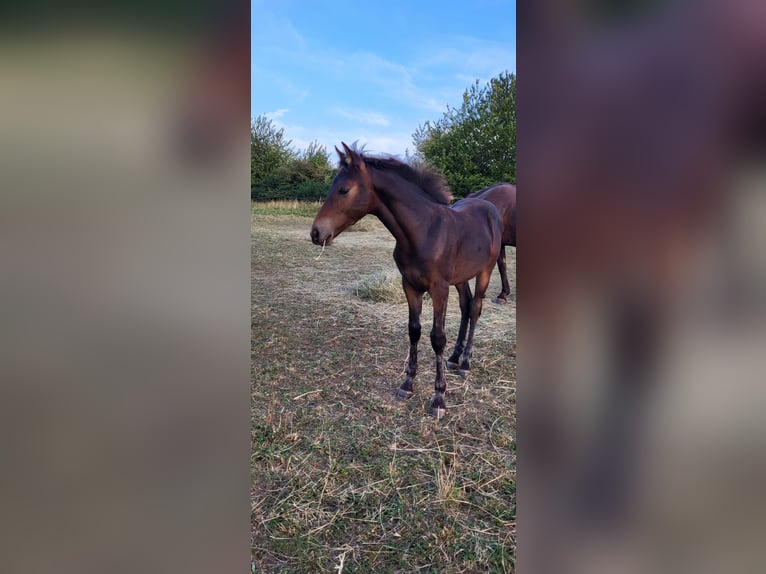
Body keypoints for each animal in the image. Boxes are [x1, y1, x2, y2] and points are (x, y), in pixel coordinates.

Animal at [310, 143, 502, 418]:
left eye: (344, 189)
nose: (316, 233)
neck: (423, 231)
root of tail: (489, 209)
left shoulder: (438, 289)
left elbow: (437, 337)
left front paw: (439, 398)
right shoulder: (410, 286)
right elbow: (414, 331)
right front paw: (407, 384)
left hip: (484, 270)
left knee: (475, 308)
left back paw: (465, 363)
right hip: (461, 277)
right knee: (466, 306)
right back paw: (454, 358)